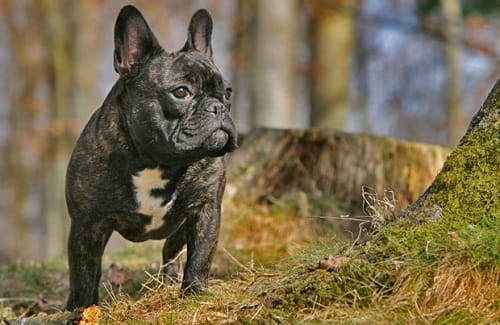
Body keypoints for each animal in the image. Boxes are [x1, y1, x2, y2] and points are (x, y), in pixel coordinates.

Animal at [65, 5, 237, 308]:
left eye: (227, 92)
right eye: (181, 92)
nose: (217, 107)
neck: (157, 161)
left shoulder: (205, 209)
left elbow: (201, 256)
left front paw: (194, 293)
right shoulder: (87, 224)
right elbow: (83, 275)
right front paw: (80, 310)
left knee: (173, 247)